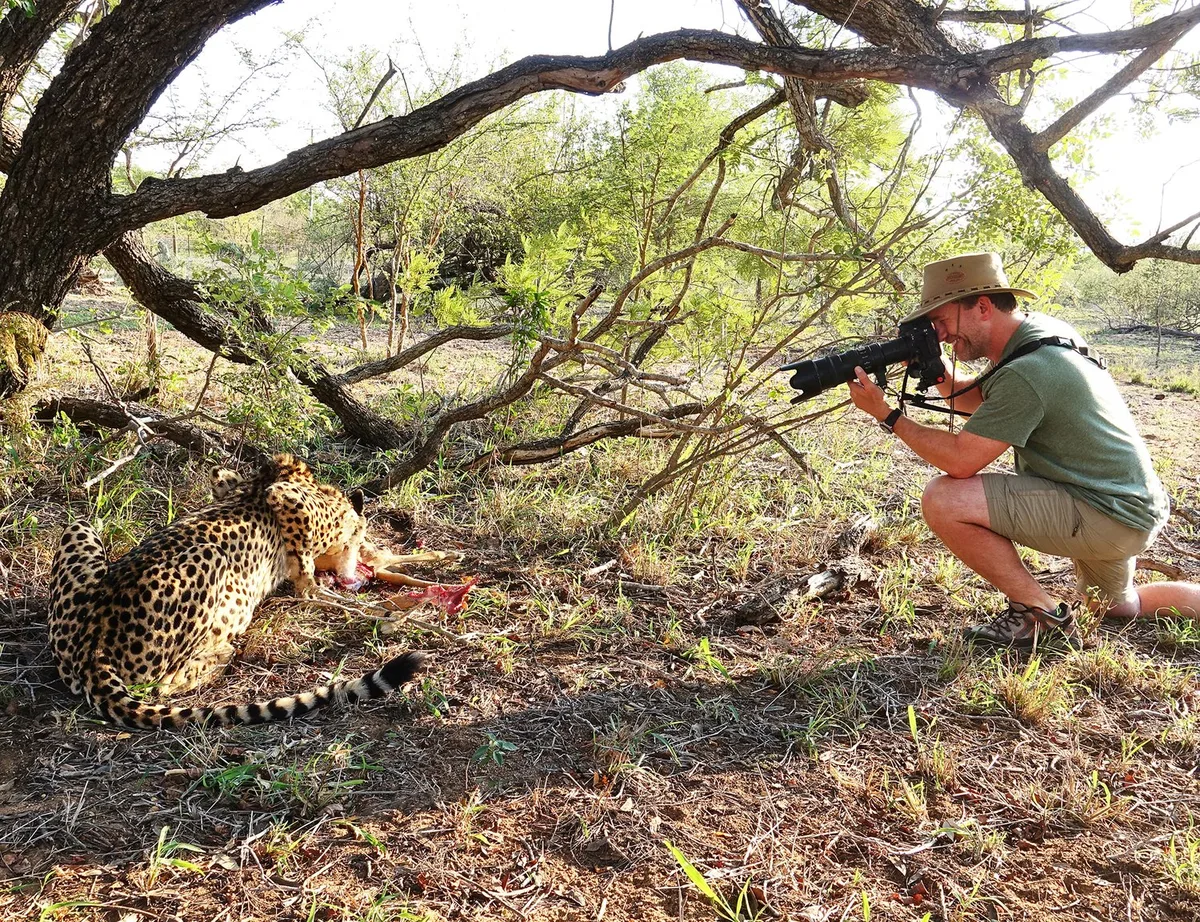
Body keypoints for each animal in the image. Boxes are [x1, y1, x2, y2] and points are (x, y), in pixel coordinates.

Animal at [47, 453, 423, 730]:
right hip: (211, 558)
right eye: (361, 541)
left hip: (78, 527)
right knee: (163, 684)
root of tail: (93, 646)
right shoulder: (287, 500)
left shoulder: (228, 480)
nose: (365, 558)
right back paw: (222, 654)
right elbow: (306, 579)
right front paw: (354, 600)